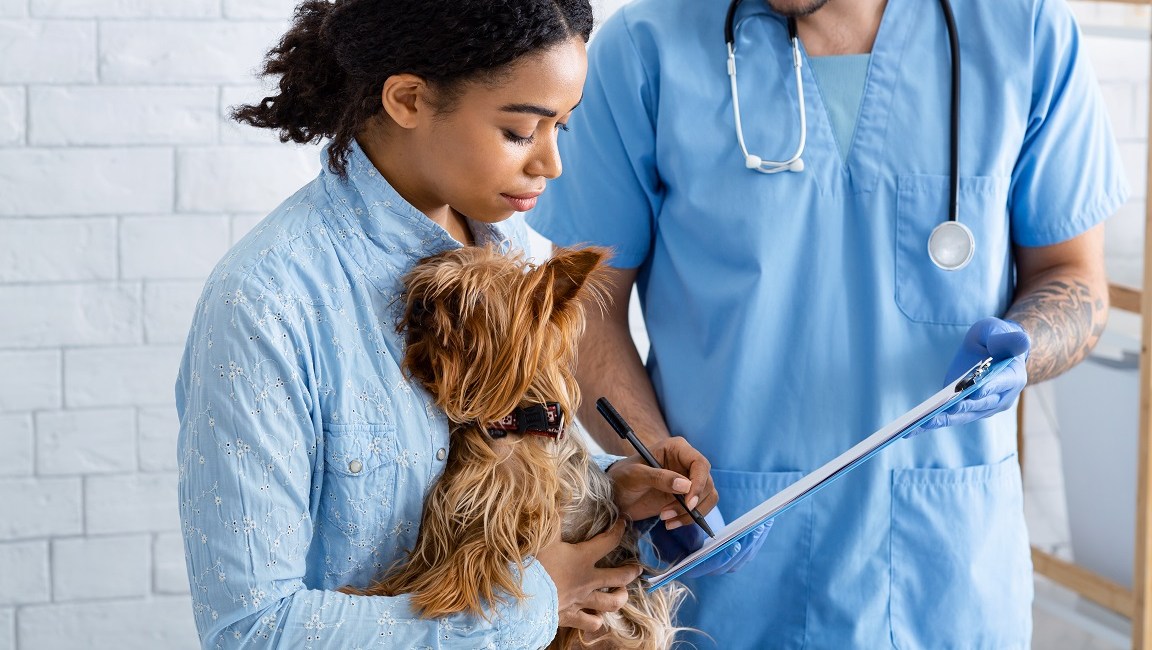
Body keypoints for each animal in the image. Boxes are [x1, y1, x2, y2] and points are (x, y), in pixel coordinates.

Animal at [340, 246, 681, 645]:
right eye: (426, 288)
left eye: (463, 301)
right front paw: (379, 592)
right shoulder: (451, 506)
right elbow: (425, 560)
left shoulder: (522, 515)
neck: (512, 423)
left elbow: (479, 550)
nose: (422, 303)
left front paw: (442, 592)